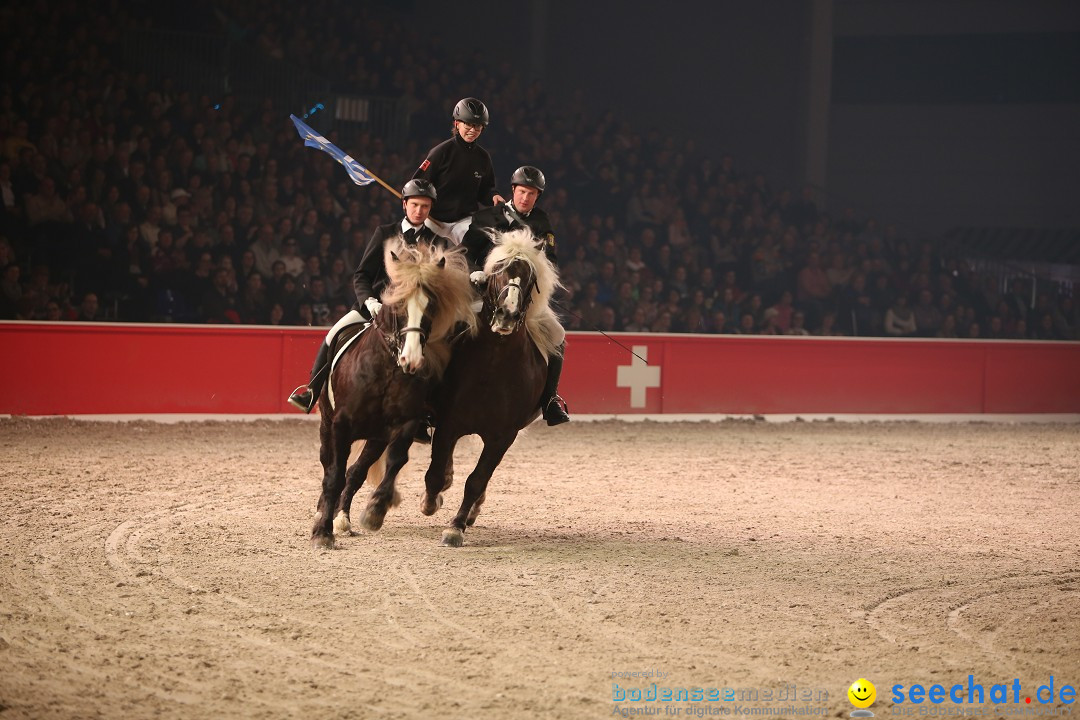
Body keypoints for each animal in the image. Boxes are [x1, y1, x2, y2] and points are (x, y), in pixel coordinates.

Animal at [311, 239, 475, 548]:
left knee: (356, 471)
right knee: (330, 466)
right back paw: (324, 515)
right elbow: (334, 475)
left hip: (375, 437)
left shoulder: (403, 424)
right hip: (327, 423)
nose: (411, 360)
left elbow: (396, 461)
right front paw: (322, 533)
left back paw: (343, 518)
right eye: (398, 305)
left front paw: (376, 510)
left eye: (432, 307)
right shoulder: (340, 425)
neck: (385, 370)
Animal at [416, 231, 565, 546]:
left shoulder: (502, 436)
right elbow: (435, 474)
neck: (494, 362)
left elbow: (476, 480)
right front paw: (430, 502)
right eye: (497, 272)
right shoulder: (449, 424)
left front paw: (456, 527)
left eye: (530, 278)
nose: (507, 315)